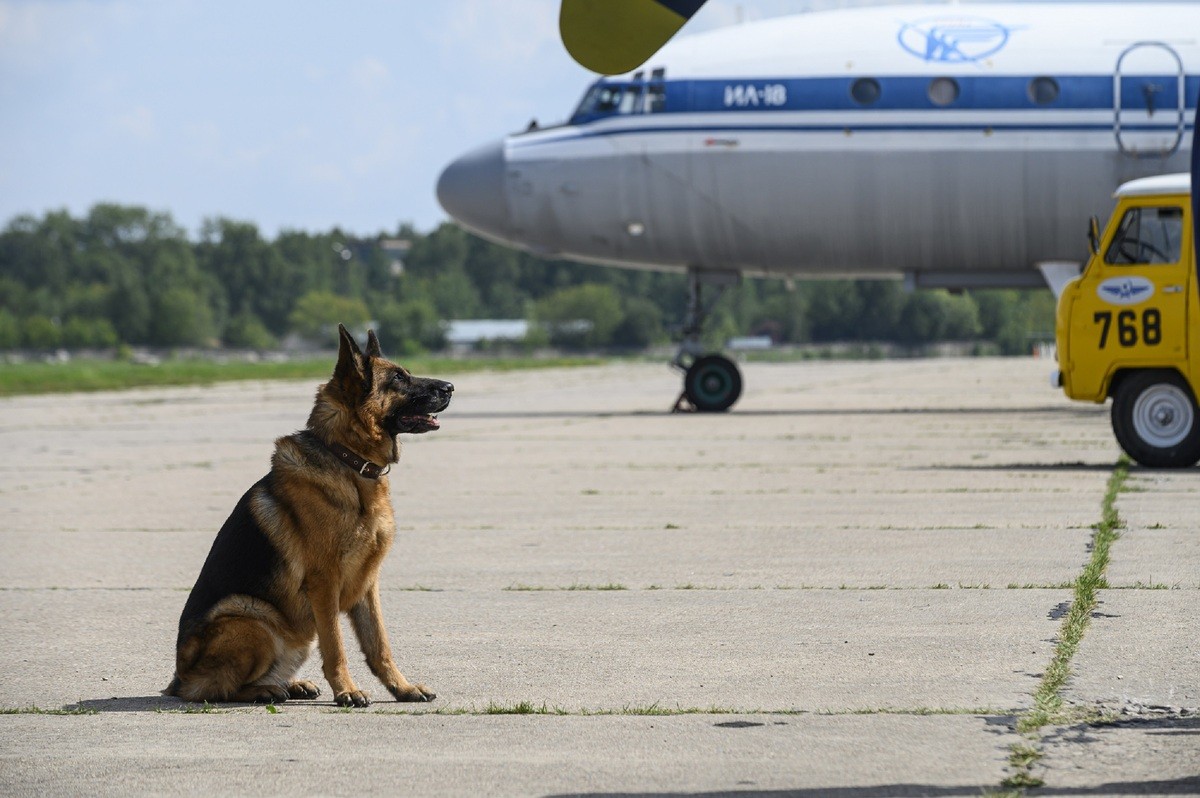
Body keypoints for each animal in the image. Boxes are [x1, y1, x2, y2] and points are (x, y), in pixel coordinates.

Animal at [166, 321, 451, 705]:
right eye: (398, 379)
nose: (450, 387)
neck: (348, 461)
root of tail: (177, 679)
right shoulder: (324, 584)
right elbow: (336, 646)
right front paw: (347, 691)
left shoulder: (368, 584)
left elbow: (379, 645)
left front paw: (402, 688)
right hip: (253, 618)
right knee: (215, 689)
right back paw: (266, 690)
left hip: (294, 635)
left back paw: (290, 684)